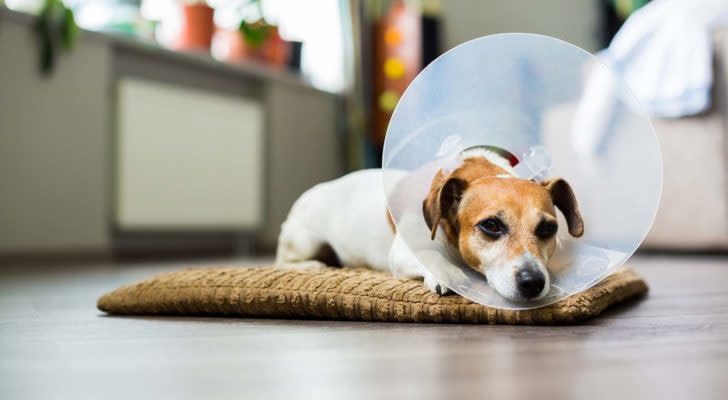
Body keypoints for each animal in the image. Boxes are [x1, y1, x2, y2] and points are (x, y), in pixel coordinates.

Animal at [274, 148, 584, 302]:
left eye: (547, 229)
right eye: (491, 225)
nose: (533, 282)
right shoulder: (404, 251)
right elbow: (430, 256)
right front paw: (449, 274)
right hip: (304, 240)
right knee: (283, 261)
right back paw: (313, 266)